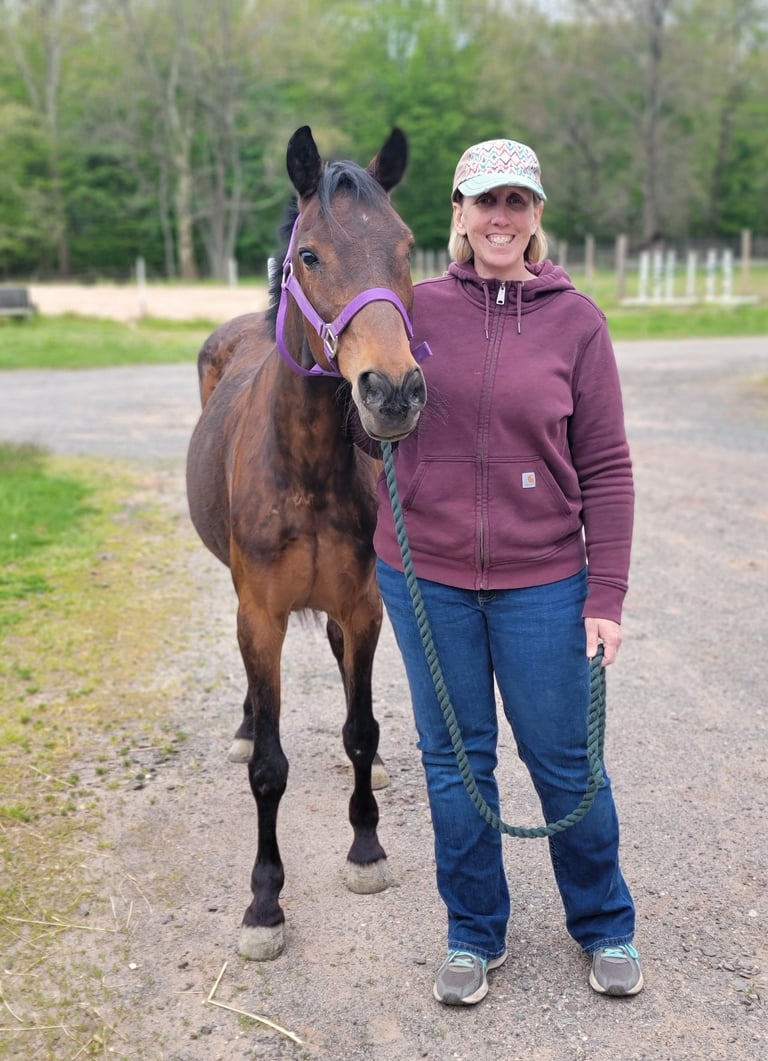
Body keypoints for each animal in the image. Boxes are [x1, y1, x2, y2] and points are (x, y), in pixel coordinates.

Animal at [186, 126, 428, 961]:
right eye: (312, 255)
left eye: (406, 247)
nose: (392, 390)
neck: (310, 465)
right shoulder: (259, 615)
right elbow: (269, 767)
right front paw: (265, 901)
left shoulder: (362, 606)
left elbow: (359, 729)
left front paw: (366, 847)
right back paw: (242, 721)